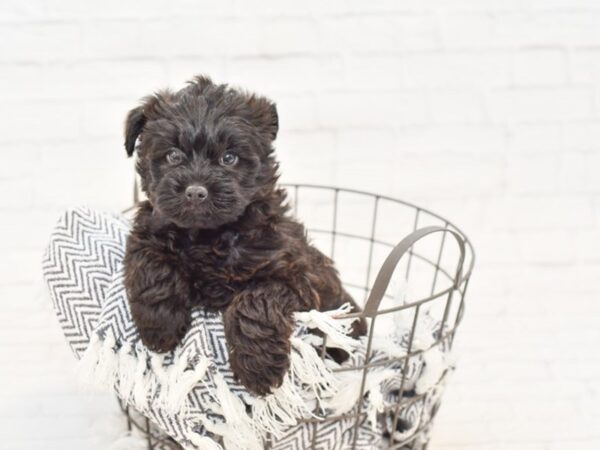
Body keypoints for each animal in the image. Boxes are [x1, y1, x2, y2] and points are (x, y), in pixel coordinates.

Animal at [123, 75, 366, 396]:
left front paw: (258, 369)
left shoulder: (293, 275)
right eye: (173, 155)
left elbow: (254, 302)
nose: (196, 191)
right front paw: (159, 326)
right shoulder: (148, 228)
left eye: (229, 158)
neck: (207, 236)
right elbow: (152, 263)